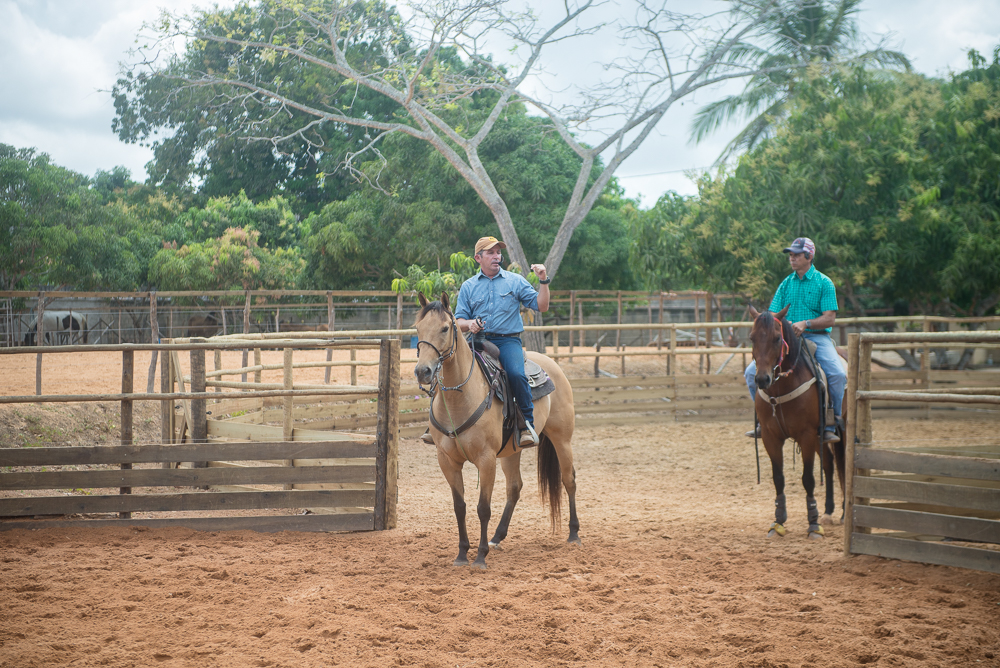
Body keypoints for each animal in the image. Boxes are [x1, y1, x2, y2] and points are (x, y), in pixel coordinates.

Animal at [412, 292, 584, 568]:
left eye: (445, 328)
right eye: (418, 328)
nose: (422, 371)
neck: (461, 397)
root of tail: (551, 365)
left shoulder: (486, 459)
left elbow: (483, 508)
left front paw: (480, 556)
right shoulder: (447, 460)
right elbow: (459, 506)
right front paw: (462, 554)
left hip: (562, 439)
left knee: (569, 480)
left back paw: (574, 534)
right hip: (512, 450)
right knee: (515, 487)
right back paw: (497, 537)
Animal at [752, 306, 844, 540]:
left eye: (777, 338)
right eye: (752, 337)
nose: (762, 379)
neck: (781, 386)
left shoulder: (806, 435)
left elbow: (808, 478)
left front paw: (813, 525)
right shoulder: (770, 437)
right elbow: (778, 478)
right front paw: (778, 522)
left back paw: (841, 514)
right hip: (821, 436)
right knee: (829, 463)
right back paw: (828, 512)